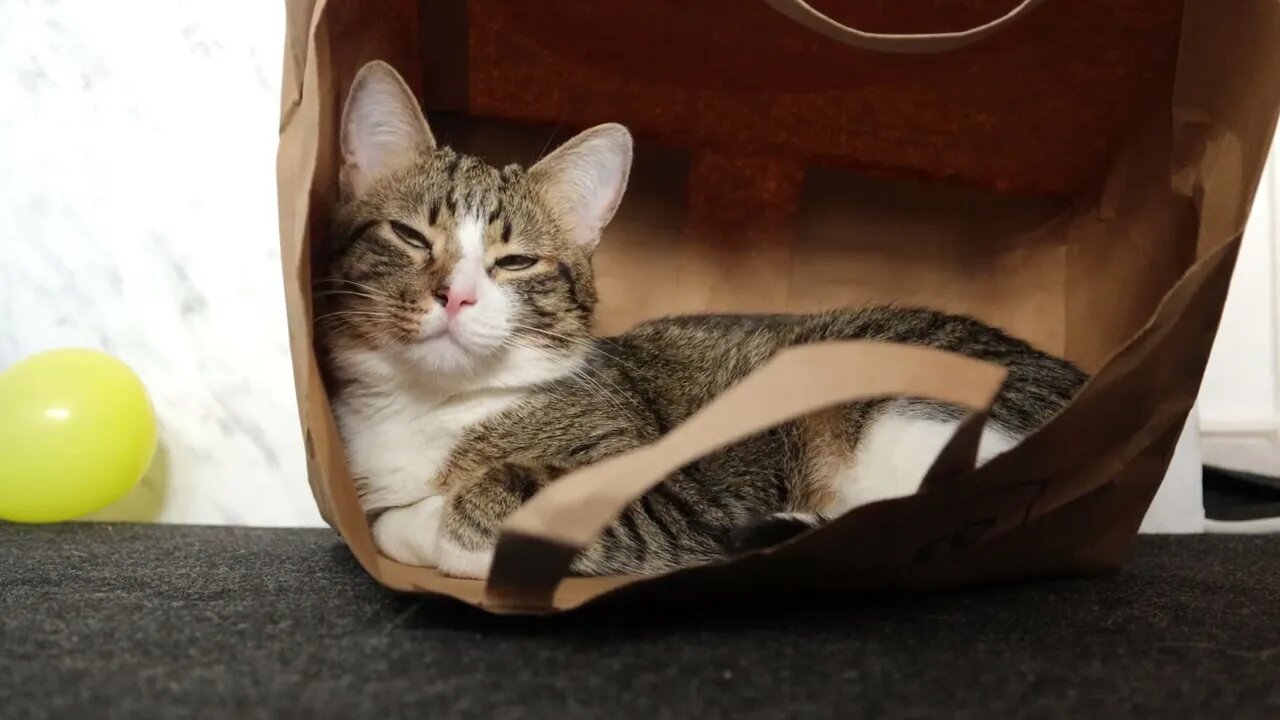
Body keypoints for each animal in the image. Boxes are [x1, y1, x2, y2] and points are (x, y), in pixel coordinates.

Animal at [314, 60, 1085, 576]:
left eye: (516, 262)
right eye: (410, 236)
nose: (456, 296)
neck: (432, 406)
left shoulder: (677, 500)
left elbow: (473, 504)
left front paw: (421, 521)